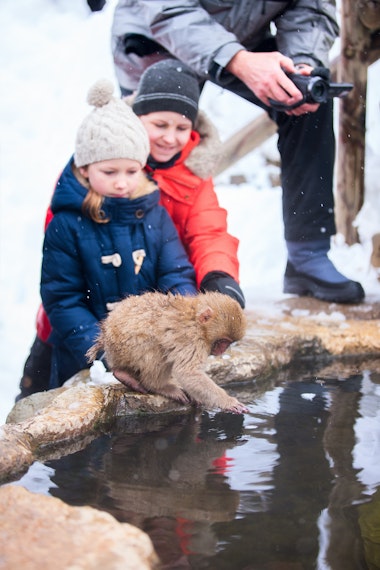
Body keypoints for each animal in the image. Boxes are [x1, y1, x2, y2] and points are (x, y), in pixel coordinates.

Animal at [88, 290, 249, 410]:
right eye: (223, 342)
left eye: (228, 343)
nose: (222, 350)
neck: (195, 319)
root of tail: (105, 335)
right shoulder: (192, 338)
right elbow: (187, 372)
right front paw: (228, 402)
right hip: (124, 348)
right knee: (156, 349)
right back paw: (158, 386)